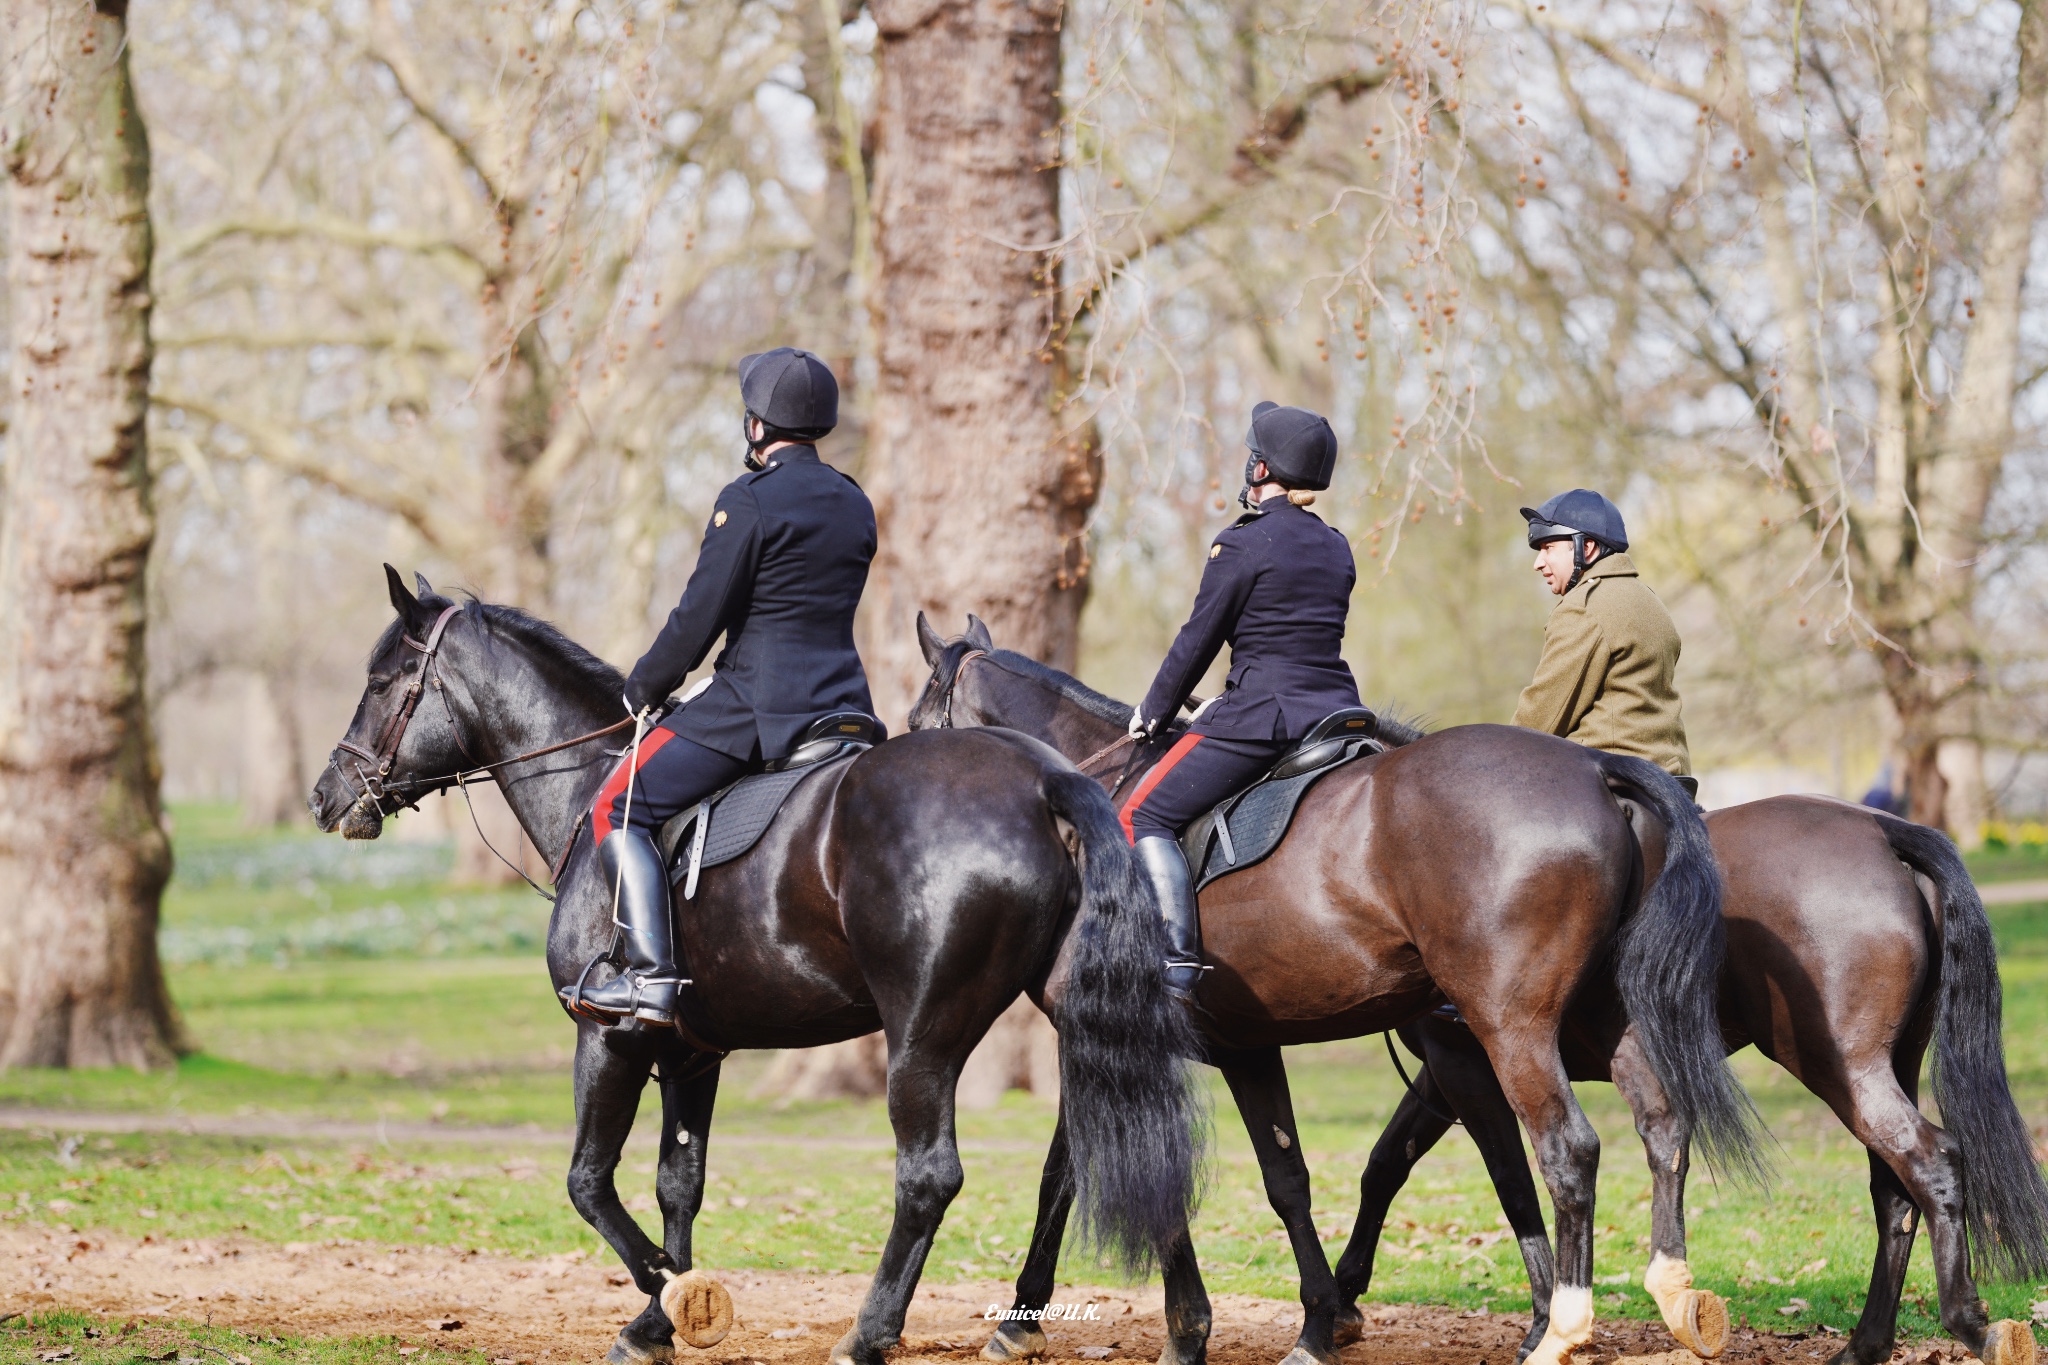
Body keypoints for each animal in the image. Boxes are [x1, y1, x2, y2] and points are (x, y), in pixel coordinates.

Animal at [303, 573, 1196, 1365]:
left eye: (381, 682)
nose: (325, 795)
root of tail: (1045, 778)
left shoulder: (610, 1036)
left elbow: (587, 1181)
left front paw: (669, 1296)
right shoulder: (691, 1050)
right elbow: (678, 1181)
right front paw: (661, 1317)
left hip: (922, 1037)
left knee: (928, 1176)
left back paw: (868, 1334)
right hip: (1081, 1022)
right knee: (1108, 1153)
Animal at [913, 618, 1761, 1365]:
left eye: (921, 718)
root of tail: (1592, 769)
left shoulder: (1111, 1038)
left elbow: (1075, 1173)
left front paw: (1047, 1322)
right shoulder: (1245, 1047)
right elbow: (1288, 1179)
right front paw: (1322, 1320)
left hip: (1510, 1028)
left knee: (1566, 1149)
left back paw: (1564, 1328)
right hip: (1600, 1019)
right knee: (1661, 1125)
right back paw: (1673, 1296)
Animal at [1327, 794, 2048, 1365]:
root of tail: (1883, 833)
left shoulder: (1467, 1066)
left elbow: (1510, 1183)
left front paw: (1542, 1323)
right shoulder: (1445, 1074)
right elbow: (1386, 1164)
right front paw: (1343, 1297)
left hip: (1843, 1067)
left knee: (1930, 1162)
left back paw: (1969, 1323)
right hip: (1888, 1064)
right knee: (1895, 1191)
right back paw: (1865, 1344)